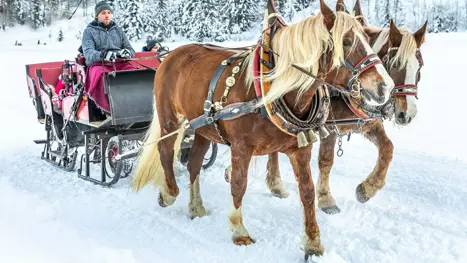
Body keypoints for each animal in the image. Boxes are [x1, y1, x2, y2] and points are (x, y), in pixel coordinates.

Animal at [132, 0, 394, 260]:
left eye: (368, 39)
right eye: (346, 41)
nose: (385, 86)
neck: (274, 90)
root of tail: (172, 54)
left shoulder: (300, 149)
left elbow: (307, 192)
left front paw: (313, 242)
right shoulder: (241, 147)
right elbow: (239, 185)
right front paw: (239, 230)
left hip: (203, 127)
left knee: (194, 163)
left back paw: (196, 206)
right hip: (170, 119)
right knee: (165, 149)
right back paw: (169, 192)